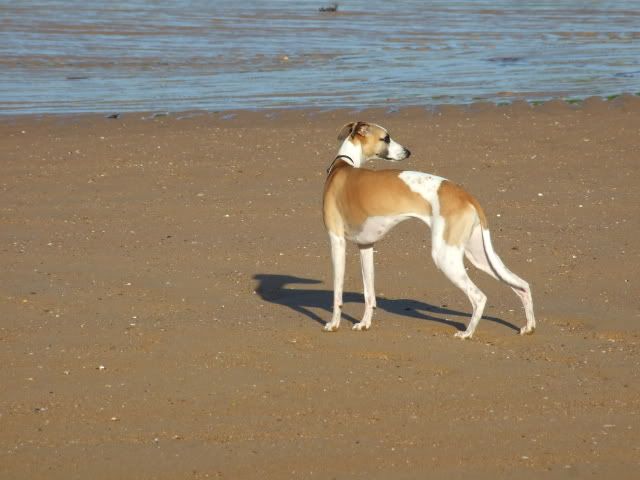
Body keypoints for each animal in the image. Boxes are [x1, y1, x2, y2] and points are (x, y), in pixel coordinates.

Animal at [320, 122, 536, 340]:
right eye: (385, 138)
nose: (408, 152)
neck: (344, 165)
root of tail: (466, 195)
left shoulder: (337, 241)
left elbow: (337, 291)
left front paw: (333, 324)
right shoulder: (366, 246)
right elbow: (369, 292)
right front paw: (364, 323)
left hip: (445, 256)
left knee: (479, 296)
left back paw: (467, 333)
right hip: (479, 255)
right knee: (522, 285)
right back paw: (529, 326)